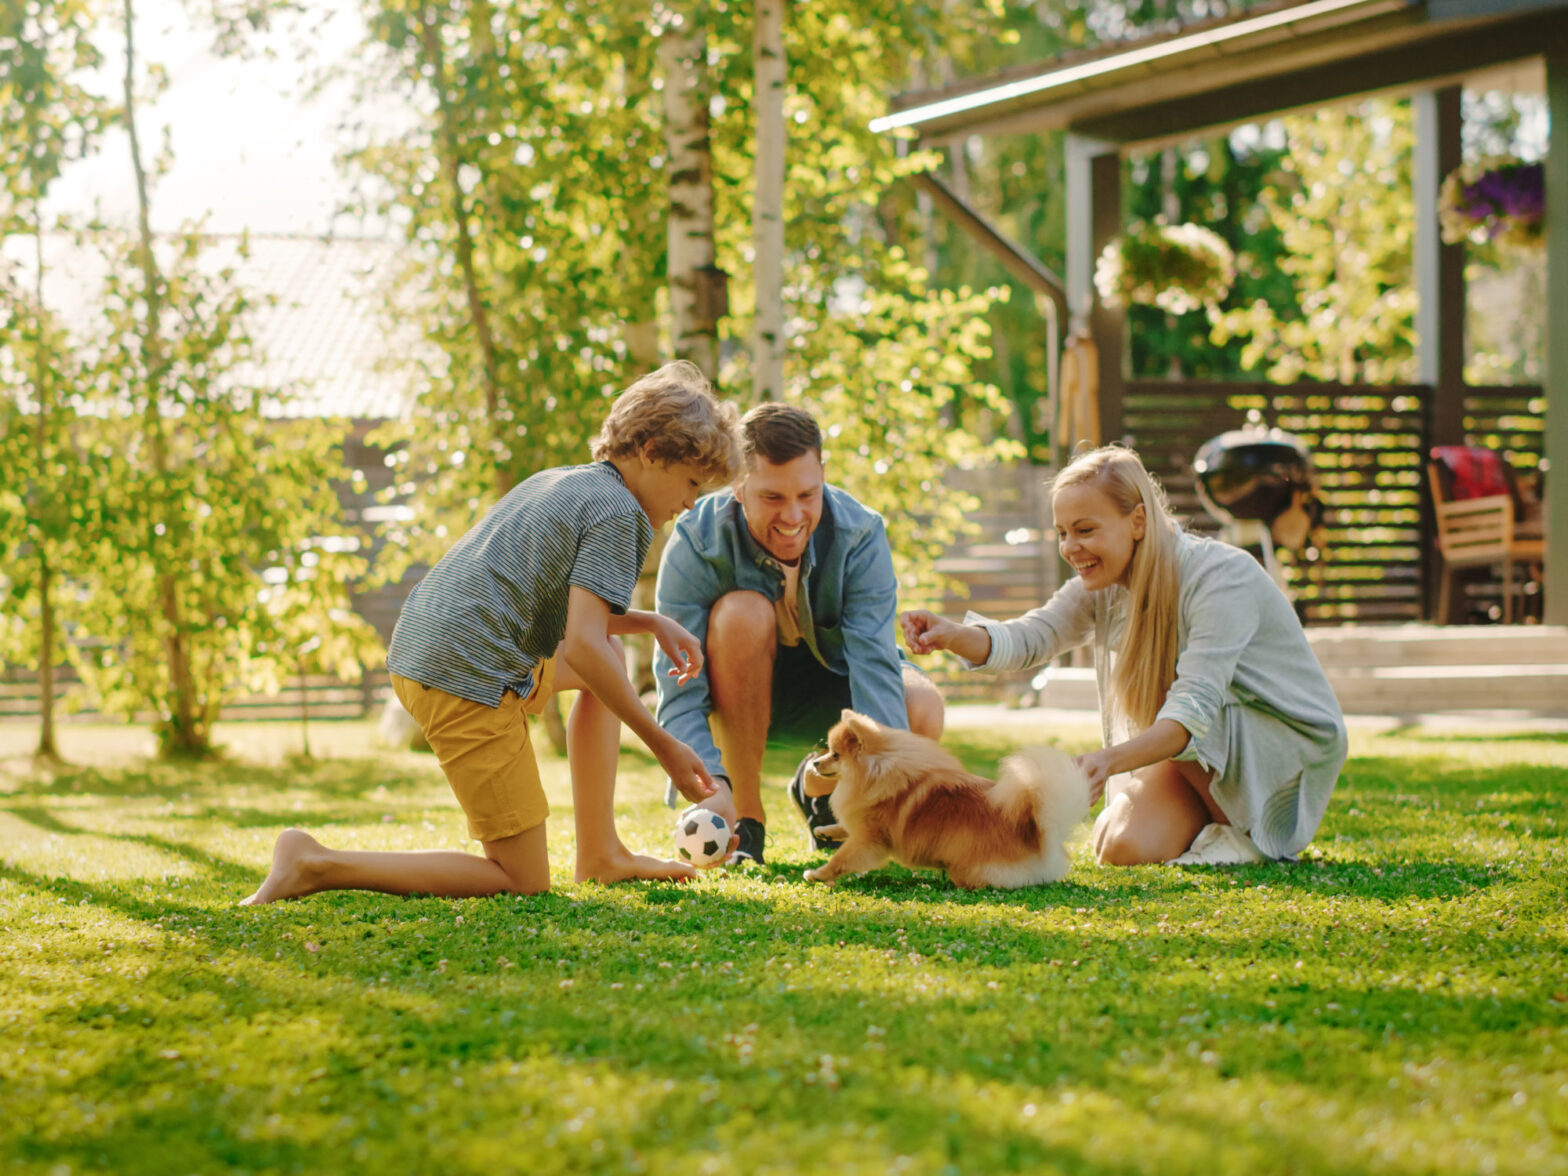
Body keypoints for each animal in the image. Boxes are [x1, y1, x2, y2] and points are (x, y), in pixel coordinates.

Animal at [802, 708, 1085, 890]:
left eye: (835, 755)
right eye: (828, 751)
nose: (814, 763)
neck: (875, 771)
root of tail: (1036, 835)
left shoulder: (869, 840)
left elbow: (842, 859)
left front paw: (817, 874)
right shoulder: (861, 822)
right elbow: (842, 828)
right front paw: (824, 830)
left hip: (968, 867)